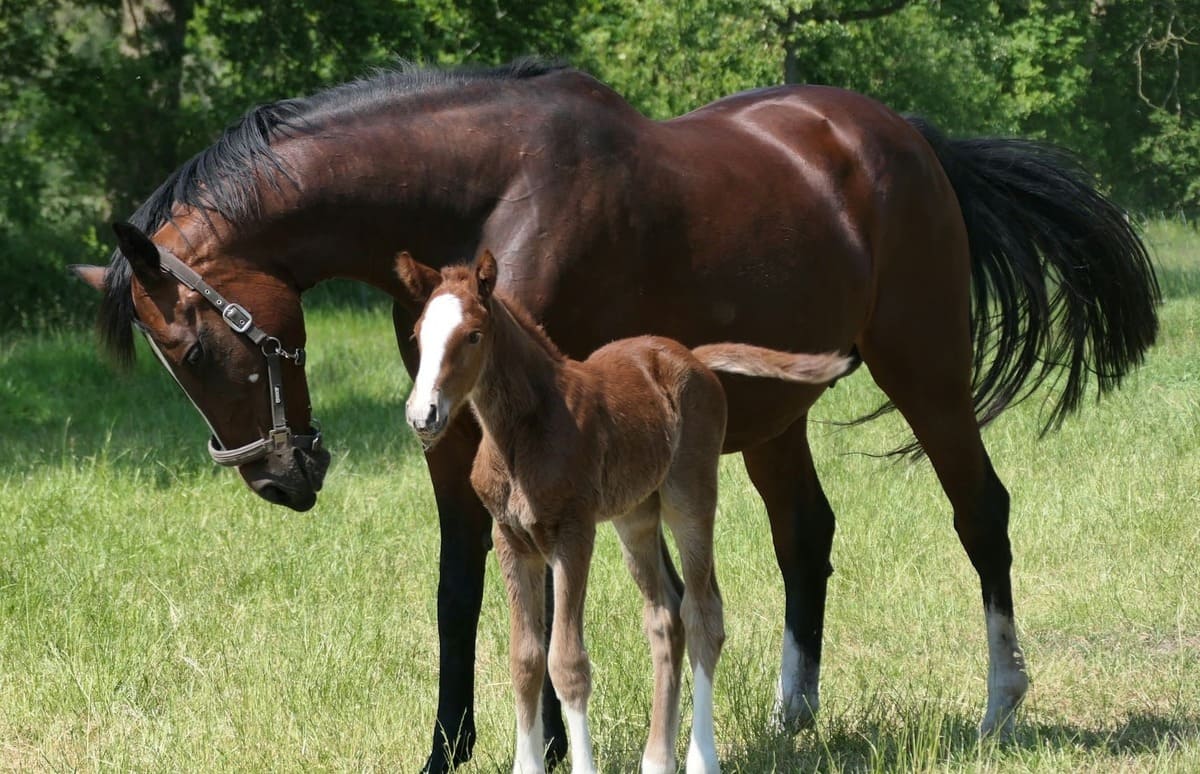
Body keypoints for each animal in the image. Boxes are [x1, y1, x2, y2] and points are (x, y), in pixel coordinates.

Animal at [398, 250, 849, 768]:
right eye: (418, 335)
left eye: (472, 335)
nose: (423, 415)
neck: (522, 433)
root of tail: (693, 358)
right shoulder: (511, 538)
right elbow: (526, 660)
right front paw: (527, 765)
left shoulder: (573, 534)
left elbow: (566, 663)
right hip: (635, 517)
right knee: (665, 618)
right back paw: (656, 762)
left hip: (689, 497)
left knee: (703, 615)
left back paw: (701, 760)